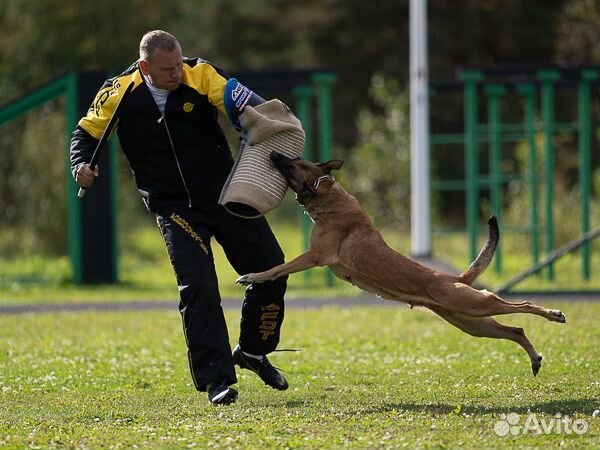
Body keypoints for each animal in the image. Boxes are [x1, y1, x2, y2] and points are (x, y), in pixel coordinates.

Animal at [236, 152, 568, 376]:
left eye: (292, 162)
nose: (273, 154)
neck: (327, 196)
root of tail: (454, 277)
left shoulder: (313, 256)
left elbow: (275, 269)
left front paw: (252, 275)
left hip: (475, 304)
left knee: (522, 305)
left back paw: (554, 314)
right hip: (472, 323)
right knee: (516, 330)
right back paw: (535, 359)